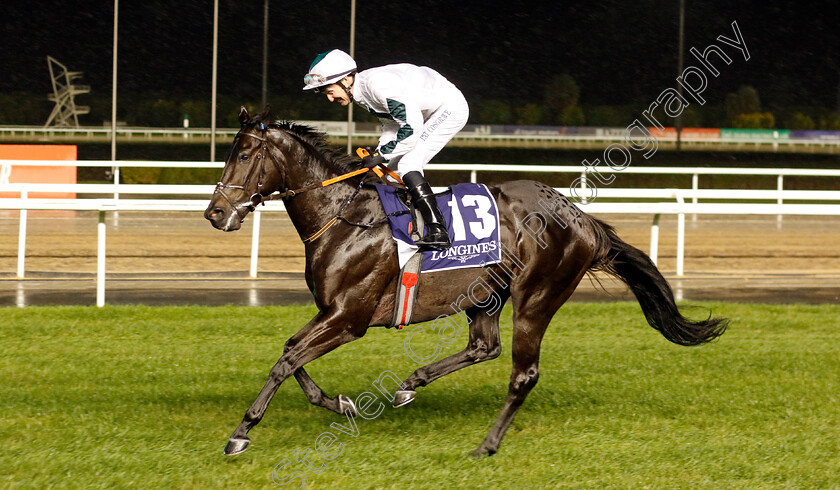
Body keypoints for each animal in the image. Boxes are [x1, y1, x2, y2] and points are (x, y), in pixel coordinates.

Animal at [203, 107, 728, 456]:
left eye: (244, 153)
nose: (215, 213)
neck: (343, 217)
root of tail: (579, 216)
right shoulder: (331, 313)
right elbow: (291, 353)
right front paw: (341, 403)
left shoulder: (349, 317)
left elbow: (287, 359)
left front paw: (240, 433)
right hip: (488, 294)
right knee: (483, 346)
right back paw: (411, 383)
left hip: (536, 296)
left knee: (522, 373)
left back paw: (486, 445)